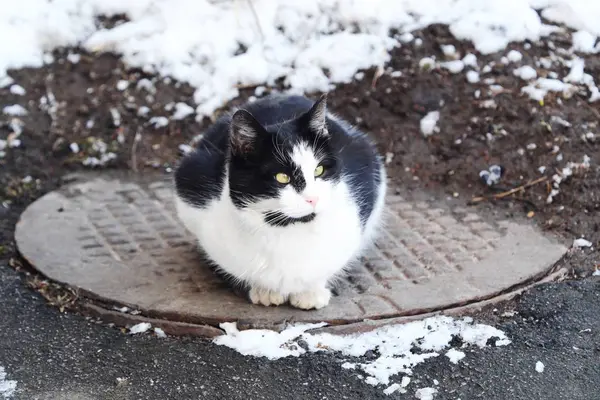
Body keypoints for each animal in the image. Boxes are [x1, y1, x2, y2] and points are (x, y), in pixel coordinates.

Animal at [173, 93, 390, 310]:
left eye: (319, 170)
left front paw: (310, 293)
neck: (288, 231)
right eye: (282, 177)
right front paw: (265, 291)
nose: (314, 198)